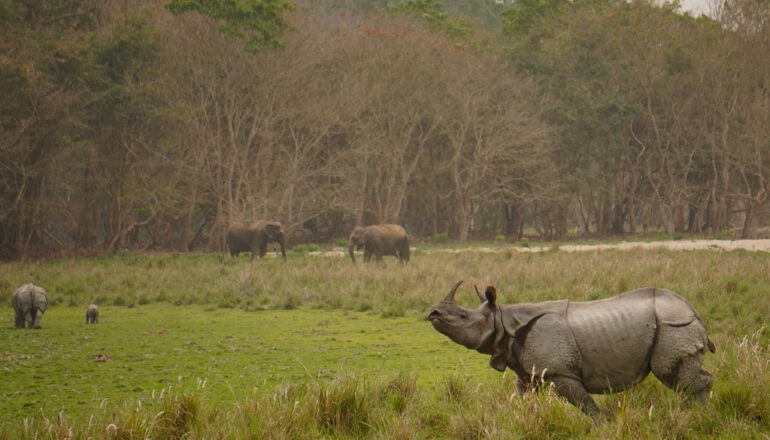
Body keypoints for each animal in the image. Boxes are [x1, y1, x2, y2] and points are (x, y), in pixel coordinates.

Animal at [427, 281, 715, 419]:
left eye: (463, 316)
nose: (433, 313)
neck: (504, 322)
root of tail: (693, 310)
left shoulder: (561, 372)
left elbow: (587, 406)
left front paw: (604, 428)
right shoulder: (528, 373)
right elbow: (520, 401)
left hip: (673, 325)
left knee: (672, 375)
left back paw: (700, 415)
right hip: (674, 324)